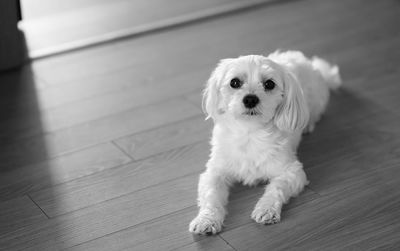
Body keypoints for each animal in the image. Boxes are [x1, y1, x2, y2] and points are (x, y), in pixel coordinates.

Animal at [188, 50, 340, 234]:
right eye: (234, 82)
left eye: (269, 84)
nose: (250, 99)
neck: (250, 133)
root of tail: (307, 61)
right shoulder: (214, 172)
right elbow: (211, 197)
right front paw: (206, 219)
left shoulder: (292, 172)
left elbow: (276, 189)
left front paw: (266, 209)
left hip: (316, 102)